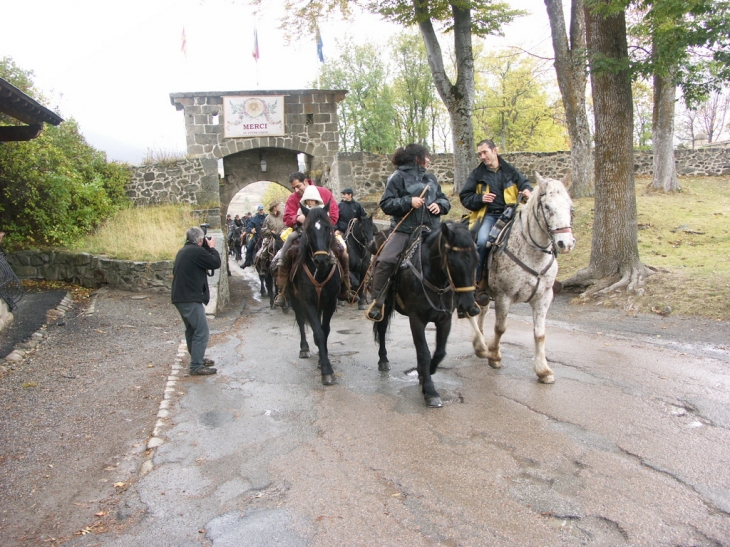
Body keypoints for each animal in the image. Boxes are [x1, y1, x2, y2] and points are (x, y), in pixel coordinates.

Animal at [286, 203, 340, 388]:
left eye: (328, 227)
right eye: (308, 229)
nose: (321, 260)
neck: (320, 273)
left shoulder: (330, 302)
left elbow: (325, 330)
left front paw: (322, 362)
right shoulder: (307, 302)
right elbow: (318, 332)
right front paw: (327, 371)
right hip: (295, 300)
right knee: (301, 321)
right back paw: (304, 349)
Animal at [376, 222, 478, 406]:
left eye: (476, 260)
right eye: (452, 262)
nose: (471, 307)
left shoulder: (445, 320)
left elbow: (439, 352)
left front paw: (426, 373)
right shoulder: (416, 320)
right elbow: (424, 353)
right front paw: (430, 390)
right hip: (384, 307)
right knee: (381, 330)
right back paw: (383, 360)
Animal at [466, 173, 576, 384]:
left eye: (569, 205)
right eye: (547, 207)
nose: (565, 243)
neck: (533, 254)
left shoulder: (544, 298)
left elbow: (540, 334)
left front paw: (543, 370)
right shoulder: (504, 296)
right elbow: (500, 328)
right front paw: (495, 356)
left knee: (481, 310)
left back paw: (481, 342)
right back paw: (480, 345)